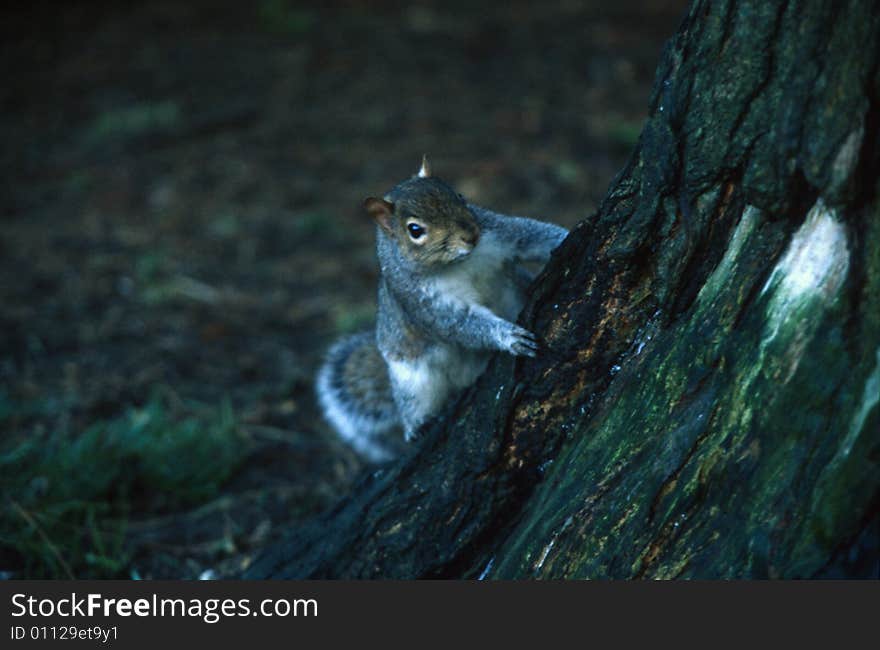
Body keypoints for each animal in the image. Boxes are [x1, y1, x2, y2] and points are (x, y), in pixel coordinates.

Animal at [312, 157, 568, 460]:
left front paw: (564, 236)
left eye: (459, 195)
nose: (471, 235)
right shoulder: (421, 301)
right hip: (413, 380)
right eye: (415, 230)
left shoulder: (499, 231)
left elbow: (533, 235)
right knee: (412, 403)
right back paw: (417, 426)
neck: (456, 263)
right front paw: (508, 337)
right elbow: (460, 324)